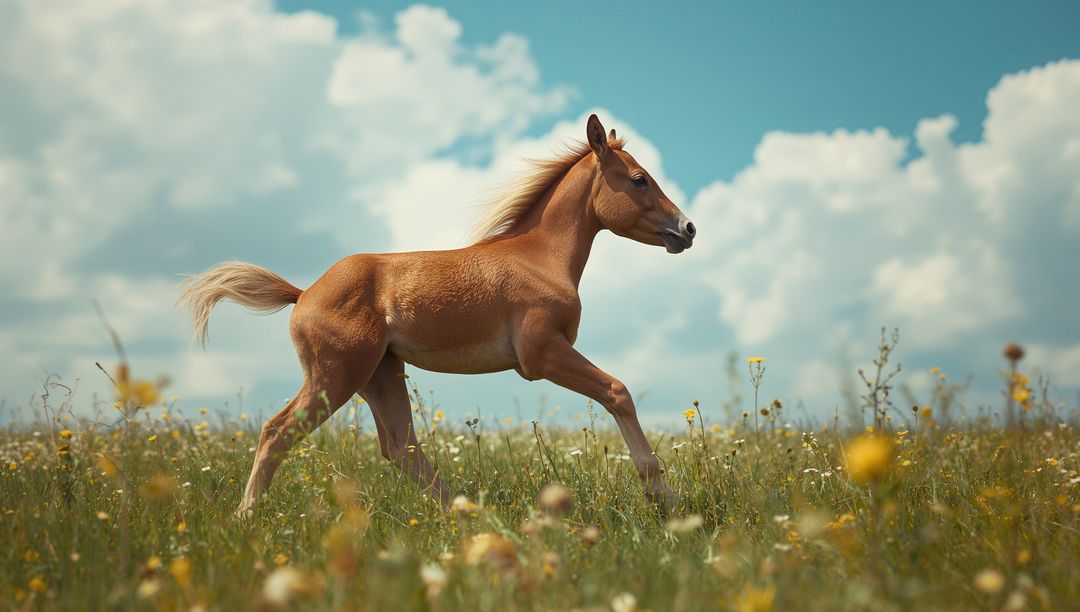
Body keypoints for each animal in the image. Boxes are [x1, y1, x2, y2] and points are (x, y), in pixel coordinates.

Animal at [178, 114, 696, 515]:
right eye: (639, 178)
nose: (687, 228)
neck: (540, 257)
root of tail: (304, 293)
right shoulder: (542, 355)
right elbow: (618, 392)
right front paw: (662, 496)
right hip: (336, 375)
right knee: (278, 431)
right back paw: (247, 517)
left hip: (380, 373)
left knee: (400, 446)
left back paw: (468, 516)